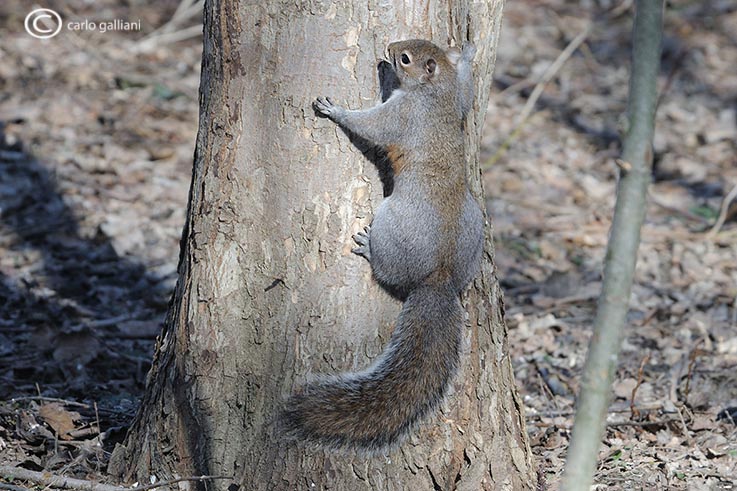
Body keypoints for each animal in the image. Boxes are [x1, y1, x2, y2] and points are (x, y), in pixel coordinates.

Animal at [278, 39, 484, 454]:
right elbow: (467, 94)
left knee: (388, 269)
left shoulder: (403, 116)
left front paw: (335, 110)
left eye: (405, 59)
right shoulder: (457, 100)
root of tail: (439, 279)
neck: (434, 93)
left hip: (391, 224)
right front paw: (467, 54)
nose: (389, 47)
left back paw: (368, 249)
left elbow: (371, 126)